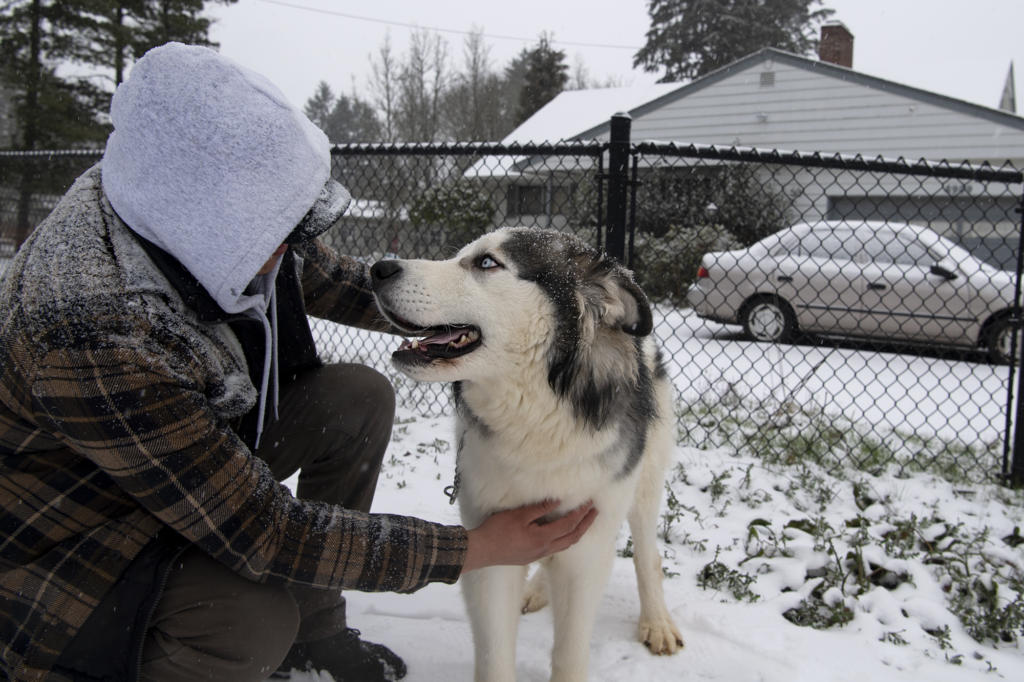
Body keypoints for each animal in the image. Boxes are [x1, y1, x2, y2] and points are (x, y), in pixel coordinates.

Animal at [368, 225, 679, 675]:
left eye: (486, 262)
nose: (377, 269)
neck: (537, 424)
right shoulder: (493, 545)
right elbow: (495, 657)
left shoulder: (588, 546)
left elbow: (570, 654)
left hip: (643, 486)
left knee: (647, 556)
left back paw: (656, 622)